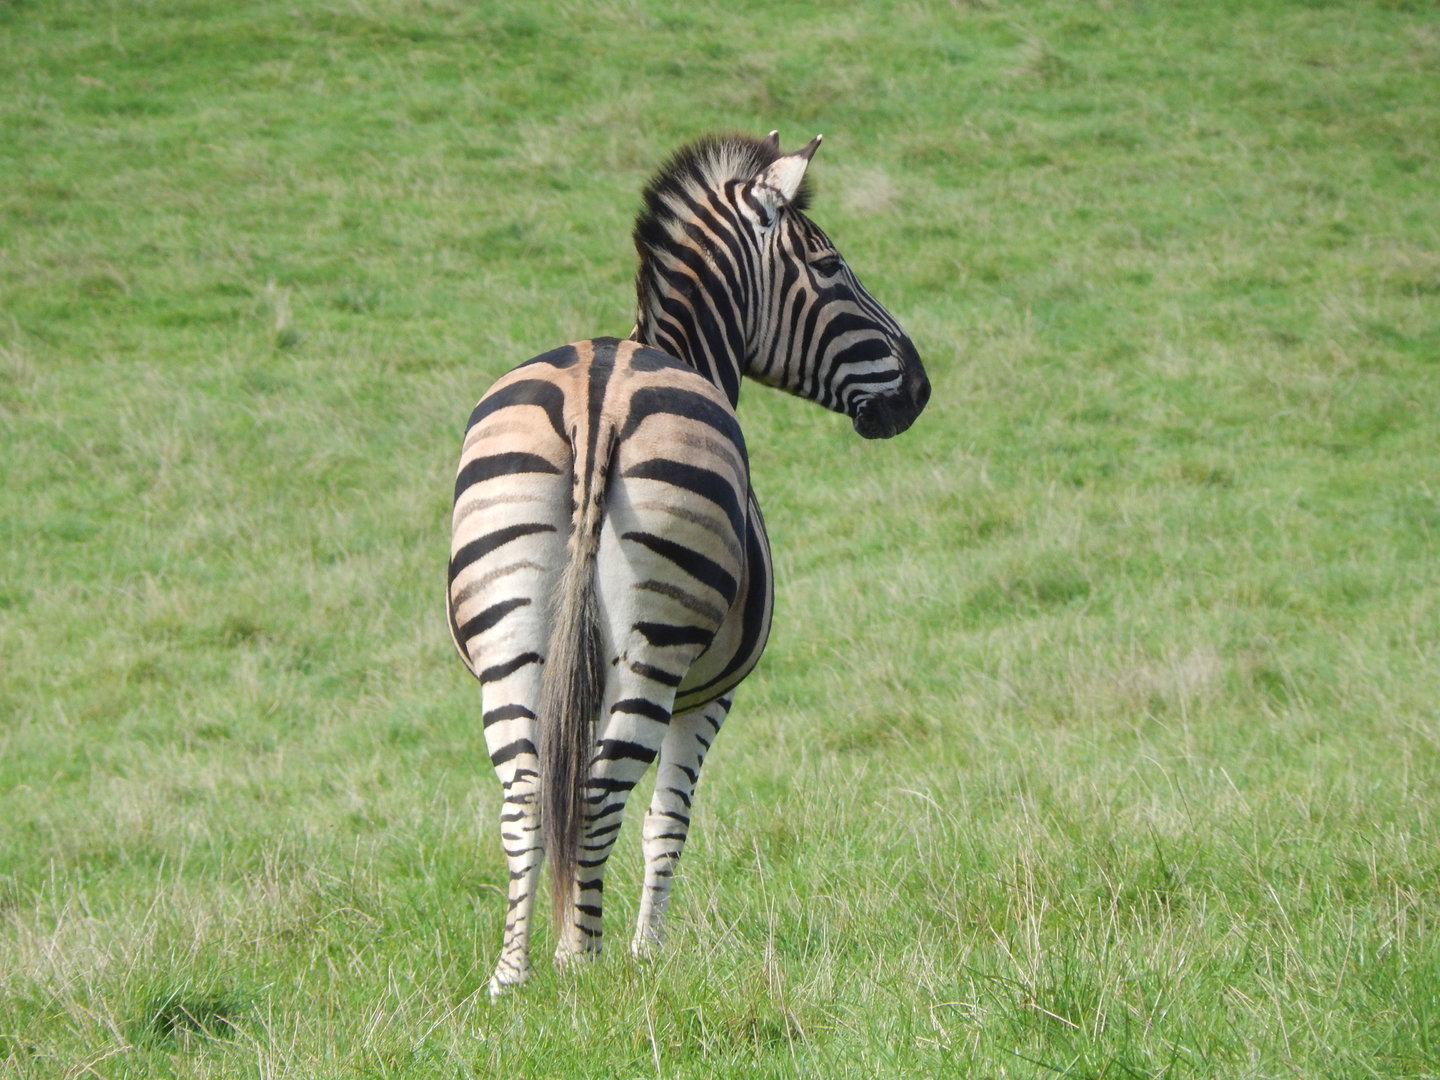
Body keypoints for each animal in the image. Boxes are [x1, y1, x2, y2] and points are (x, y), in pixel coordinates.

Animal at [448, 131, 930, 995]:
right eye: (830, 265)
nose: (919, 389)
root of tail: (596, 391)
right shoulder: (711, 695)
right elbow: (668, 820)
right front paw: (648, 950)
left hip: (509, 634)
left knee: (528, 793)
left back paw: (513, 976)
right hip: (660, 647)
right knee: (600, 794)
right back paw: (583, 963)